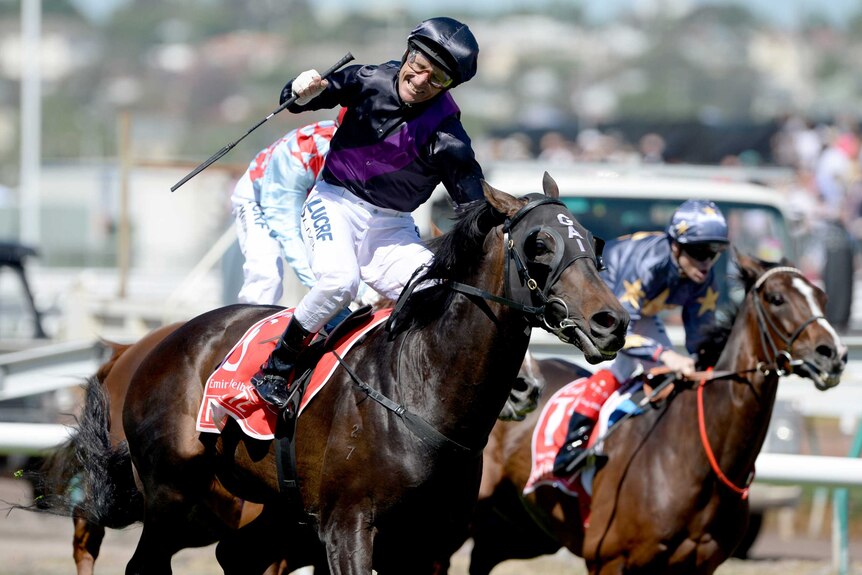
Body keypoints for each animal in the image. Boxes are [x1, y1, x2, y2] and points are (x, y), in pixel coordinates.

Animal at [54, 177, 632, 575]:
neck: (421, 391)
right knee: (143, 563)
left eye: (595, 243)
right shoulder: (347, 527)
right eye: (539, 244)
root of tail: (149, 347)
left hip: (267, 506)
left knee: (236, 555)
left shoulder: (427, 541)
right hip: (173, 494)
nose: (612, 322)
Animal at [456, 256, 848, 575]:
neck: (692, 454)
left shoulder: (698, 565)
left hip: (523, 528)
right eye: (777, 299)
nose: (834, 354)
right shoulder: (609, 559)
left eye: (823, 298)